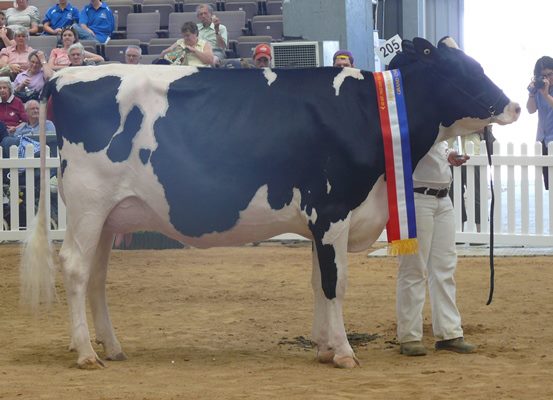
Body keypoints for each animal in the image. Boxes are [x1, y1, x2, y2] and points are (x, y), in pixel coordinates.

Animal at [18, 36, 516, 368]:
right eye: (466, 68)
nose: (512, 106)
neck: (367, 111)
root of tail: (63, 76)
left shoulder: (319, 222)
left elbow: (318, 283)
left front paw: (324, 347)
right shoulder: (332, 211)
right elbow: (335, 283)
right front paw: (344, 353)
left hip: (108, 215)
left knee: (97, 276)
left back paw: (114, 347)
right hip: (88, 203)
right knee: (76, 268)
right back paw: (86, 353)